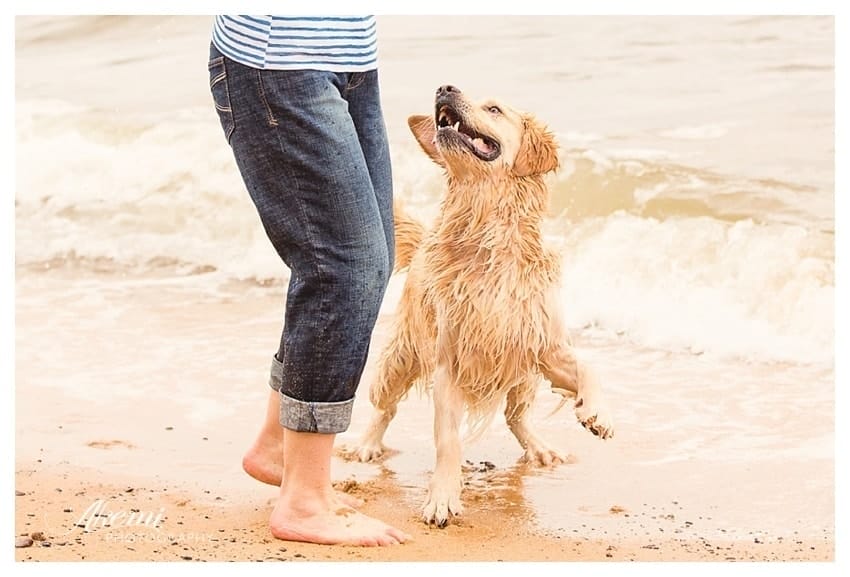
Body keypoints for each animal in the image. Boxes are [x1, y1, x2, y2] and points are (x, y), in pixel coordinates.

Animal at [352, 83, 608, 524]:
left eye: (494, 109)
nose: (444, 87)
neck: (490, 237)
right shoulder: (449, 363)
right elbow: (447, 441)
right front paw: (442, 496)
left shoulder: (542, 344)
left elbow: (587, 368)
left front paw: (594, 412)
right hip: (402, 356)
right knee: (384, 406)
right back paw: (368, 444)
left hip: (522, 379)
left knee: (516, 417)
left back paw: (540, 447)